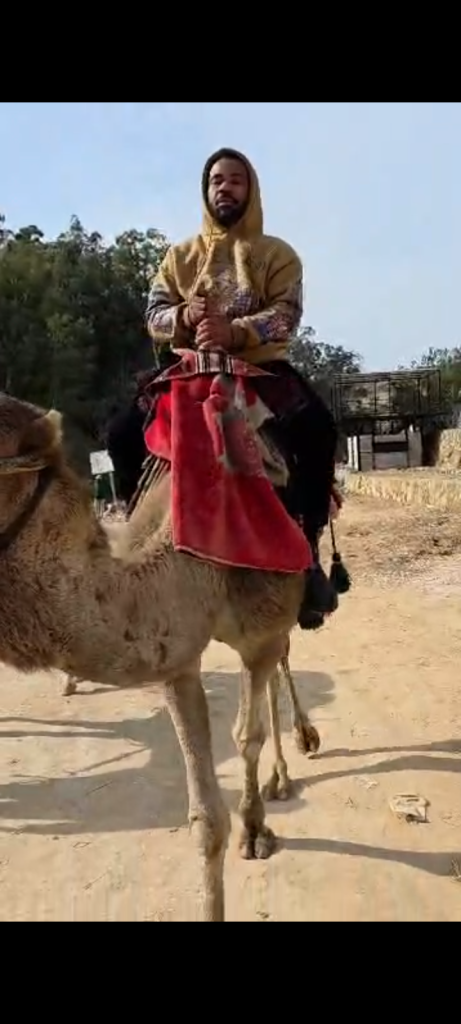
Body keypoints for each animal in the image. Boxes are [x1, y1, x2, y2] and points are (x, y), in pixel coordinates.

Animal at [0, 390, 322, 922]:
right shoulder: (176, 660)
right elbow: (207, 820)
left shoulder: (262, 632)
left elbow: (247, 736)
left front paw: (255, 829)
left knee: (282, 664)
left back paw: (294, 754)